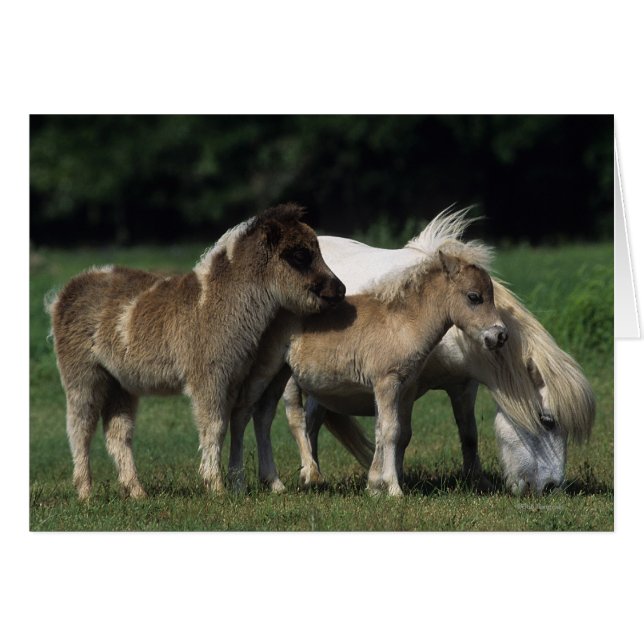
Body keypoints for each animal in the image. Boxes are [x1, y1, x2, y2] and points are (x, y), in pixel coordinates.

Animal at [46, 204, 345, 500]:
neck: (215, 303)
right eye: (300, 255)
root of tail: (64, 294)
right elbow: (214, 426)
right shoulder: (208, 377)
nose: (340, 290)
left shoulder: (232, 379)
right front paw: (215, 486)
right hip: (83, 374)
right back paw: (86, 492)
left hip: (120, 383)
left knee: (118, 434)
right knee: (80, 428)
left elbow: (228, 423)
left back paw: (137, 491)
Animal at [229, 211, 508, 496]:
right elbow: (391, 431)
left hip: (281, 376)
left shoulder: (400, 388)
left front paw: (374, 486)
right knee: (259, 414)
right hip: (270, 372)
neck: (401, 323)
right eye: (474, 297)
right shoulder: (387, 382)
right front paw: (394, 489)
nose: (499, 336)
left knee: (264, 415)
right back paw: (267, 479)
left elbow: (384, 431)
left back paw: (277, 481)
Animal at [278, 213, 595, 495]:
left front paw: (478, 482)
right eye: (547, 420)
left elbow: (468, 433)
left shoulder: (464, 386)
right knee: (304, 421)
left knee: (312, 422)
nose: (551, 487)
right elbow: (399, 434)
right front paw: (391, 481)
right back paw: (311, 474)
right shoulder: (403, 387)